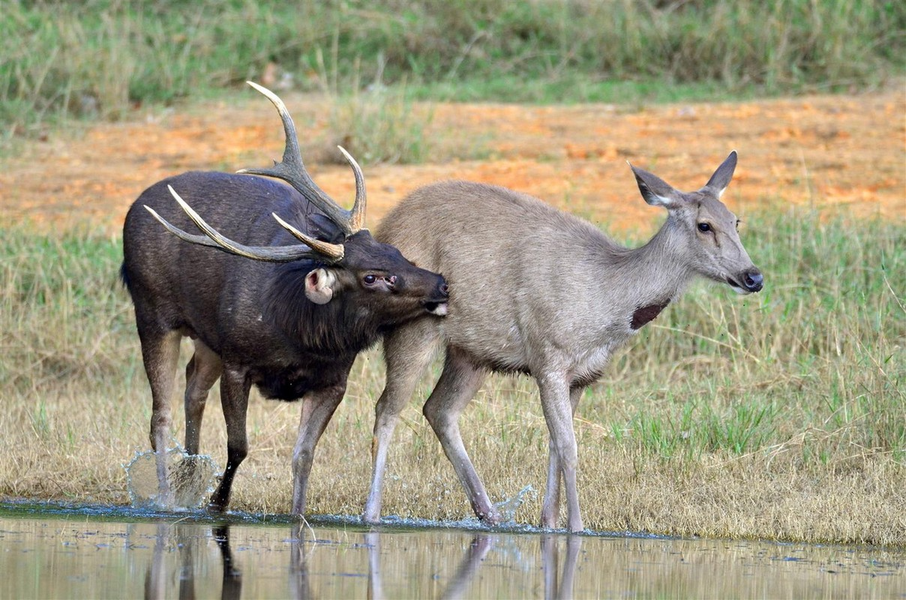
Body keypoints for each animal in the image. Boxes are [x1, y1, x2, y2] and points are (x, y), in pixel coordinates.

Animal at [123, 83, 448, 516]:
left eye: (395, 251)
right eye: (372, 277)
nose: (441, 284)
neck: (295, 331)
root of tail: (132, 209)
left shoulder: (333, 380)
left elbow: (304, 455)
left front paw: (297, 514)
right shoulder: (238, 362)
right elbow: (239, 446)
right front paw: (217, 503)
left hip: (208, 335)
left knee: (193, 387)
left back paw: (188, 476)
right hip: (153, 313)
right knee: (160, 416)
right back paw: (166, 498)